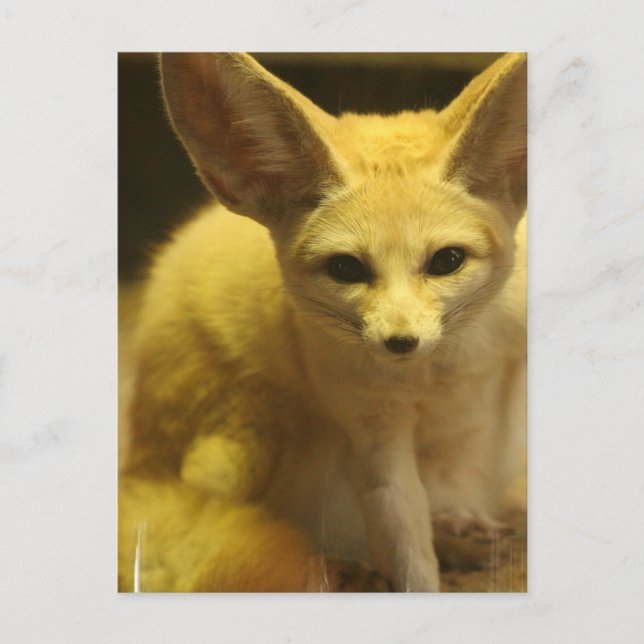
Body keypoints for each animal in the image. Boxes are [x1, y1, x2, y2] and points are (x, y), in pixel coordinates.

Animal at [118, 52, 527, 593]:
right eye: (346, 269)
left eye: (447, 261)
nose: (401, 342)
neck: (443, 373)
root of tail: (139, 463)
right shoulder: (373, 433)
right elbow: (405, 545)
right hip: (234, 448)